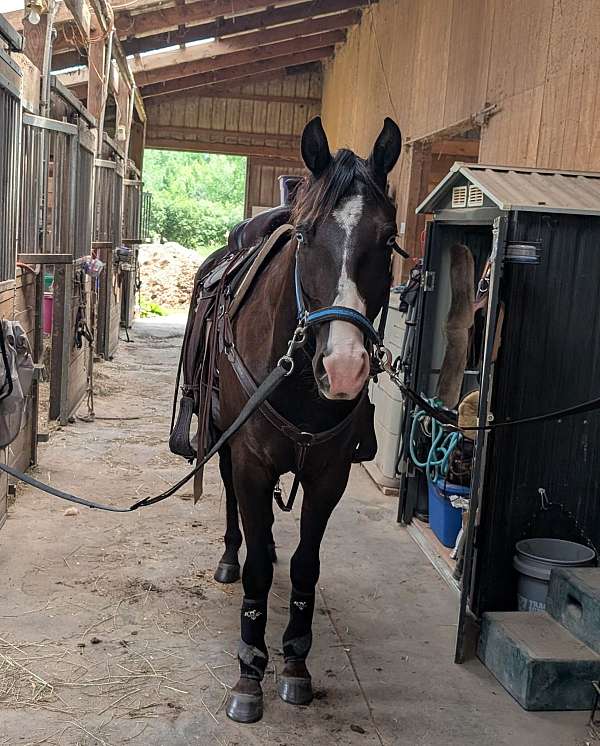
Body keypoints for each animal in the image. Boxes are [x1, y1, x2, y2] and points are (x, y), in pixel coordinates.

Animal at [212, 115, 402, 722]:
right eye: (305, 236)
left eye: (388, 239)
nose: (343, 368)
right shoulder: (250, 464)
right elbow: (258, 568)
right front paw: (249, 672)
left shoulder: (329, 476)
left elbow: (303, 567)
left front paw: (295, 661)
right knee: (230, 502)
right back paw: (229, 557)